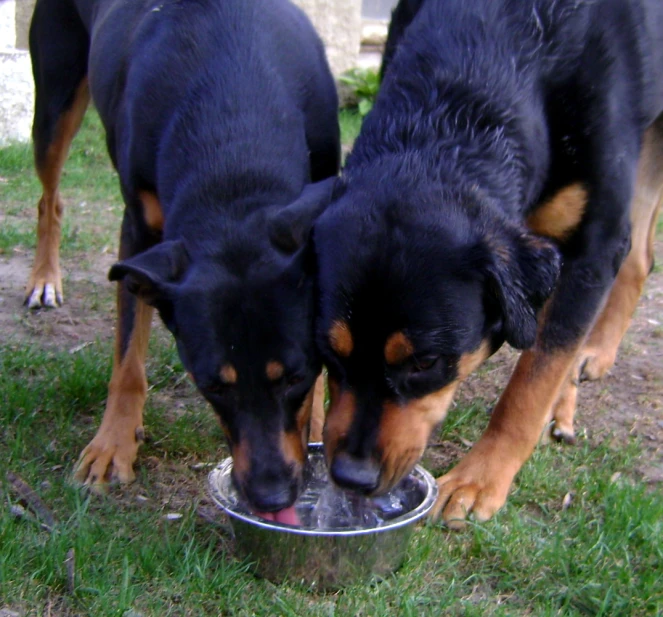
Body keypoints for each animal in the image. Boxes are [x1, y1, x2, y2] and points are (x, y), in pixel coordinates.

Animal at [26, 0, 340, 520]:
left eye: (294, 376)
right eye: (212, 385)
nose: (271, 497)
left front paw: (315, 427)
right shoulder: (137, 230)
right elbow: (127, 357)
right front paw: (112, 445)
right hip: (54, 102)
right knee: (48, 197)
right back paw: (44, 278)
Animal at [312, 1, 663, 528]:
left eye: (427, 362)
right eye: (330, 351)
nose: (351, 477)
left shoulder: (594, 246)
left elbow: (533, 380)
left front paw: (481, 479)